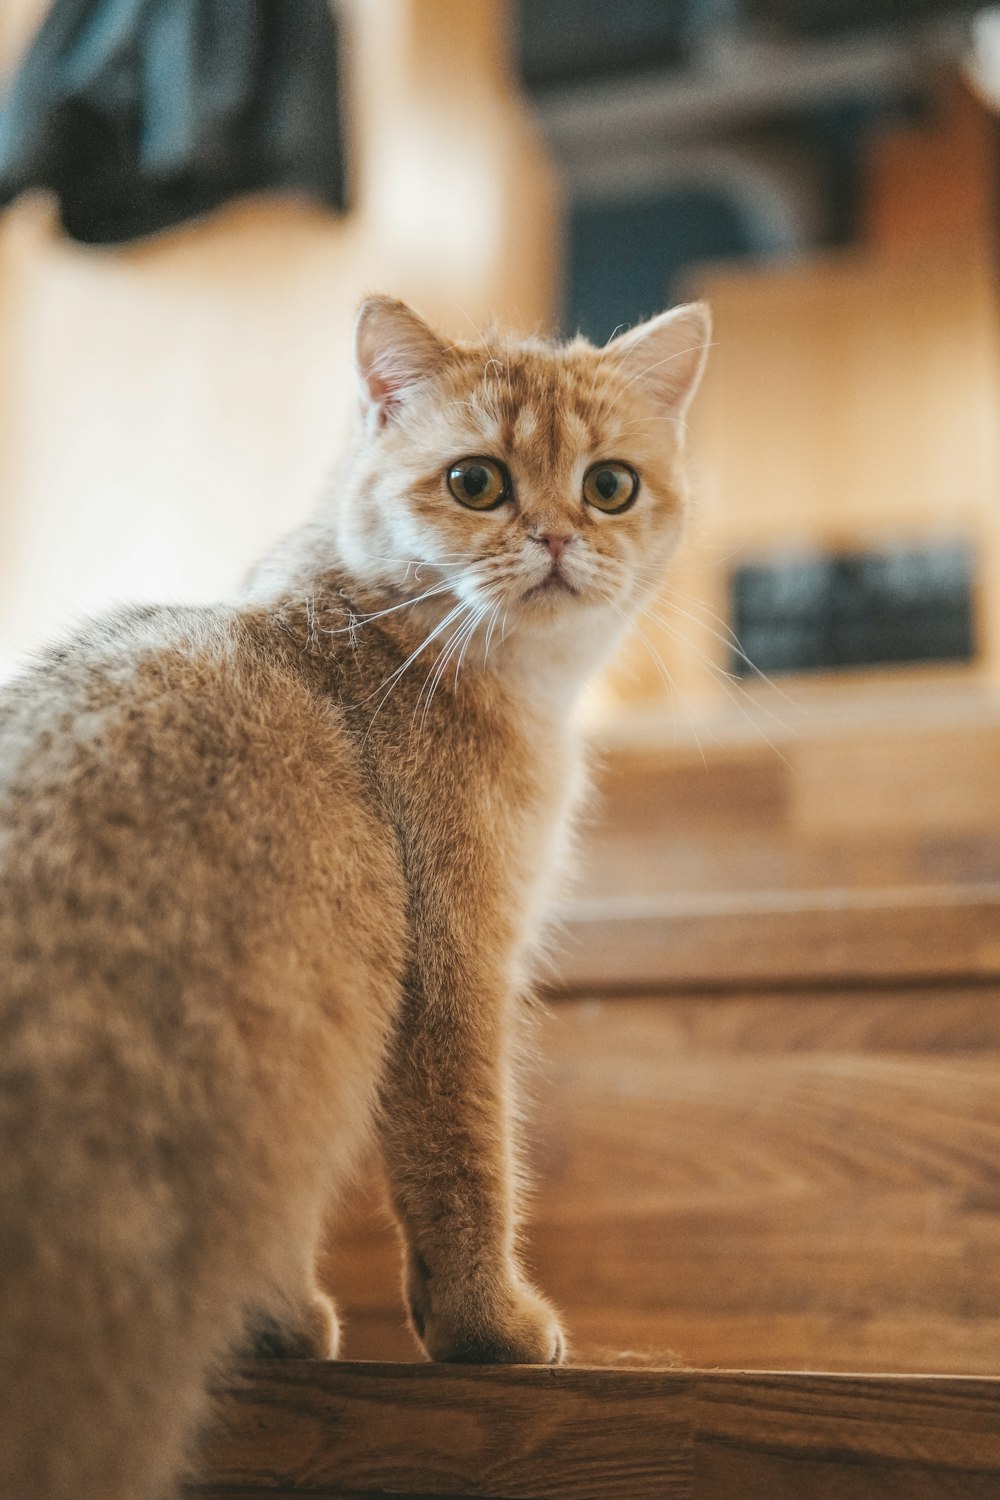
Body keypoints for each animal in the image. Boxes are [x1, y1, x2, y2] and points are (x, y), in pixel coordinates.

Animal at [0, 292, 710, 1500]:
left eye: (610, 485)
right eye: (476, 482)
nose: (556, 538)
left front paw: (276, 1324)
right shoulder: (449, 979)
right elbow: (466, 1168)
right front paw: (488, 1330)